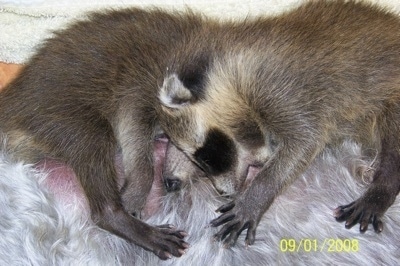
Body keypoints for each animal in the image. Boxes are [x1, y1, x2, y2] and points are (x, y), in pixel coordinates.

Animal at [155, 1, 400, 248]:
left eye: (205, 157)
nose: (224, 193)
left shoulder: (275, 85)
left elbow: (306, 140)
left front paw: (256, 196)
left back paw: (383, 186)